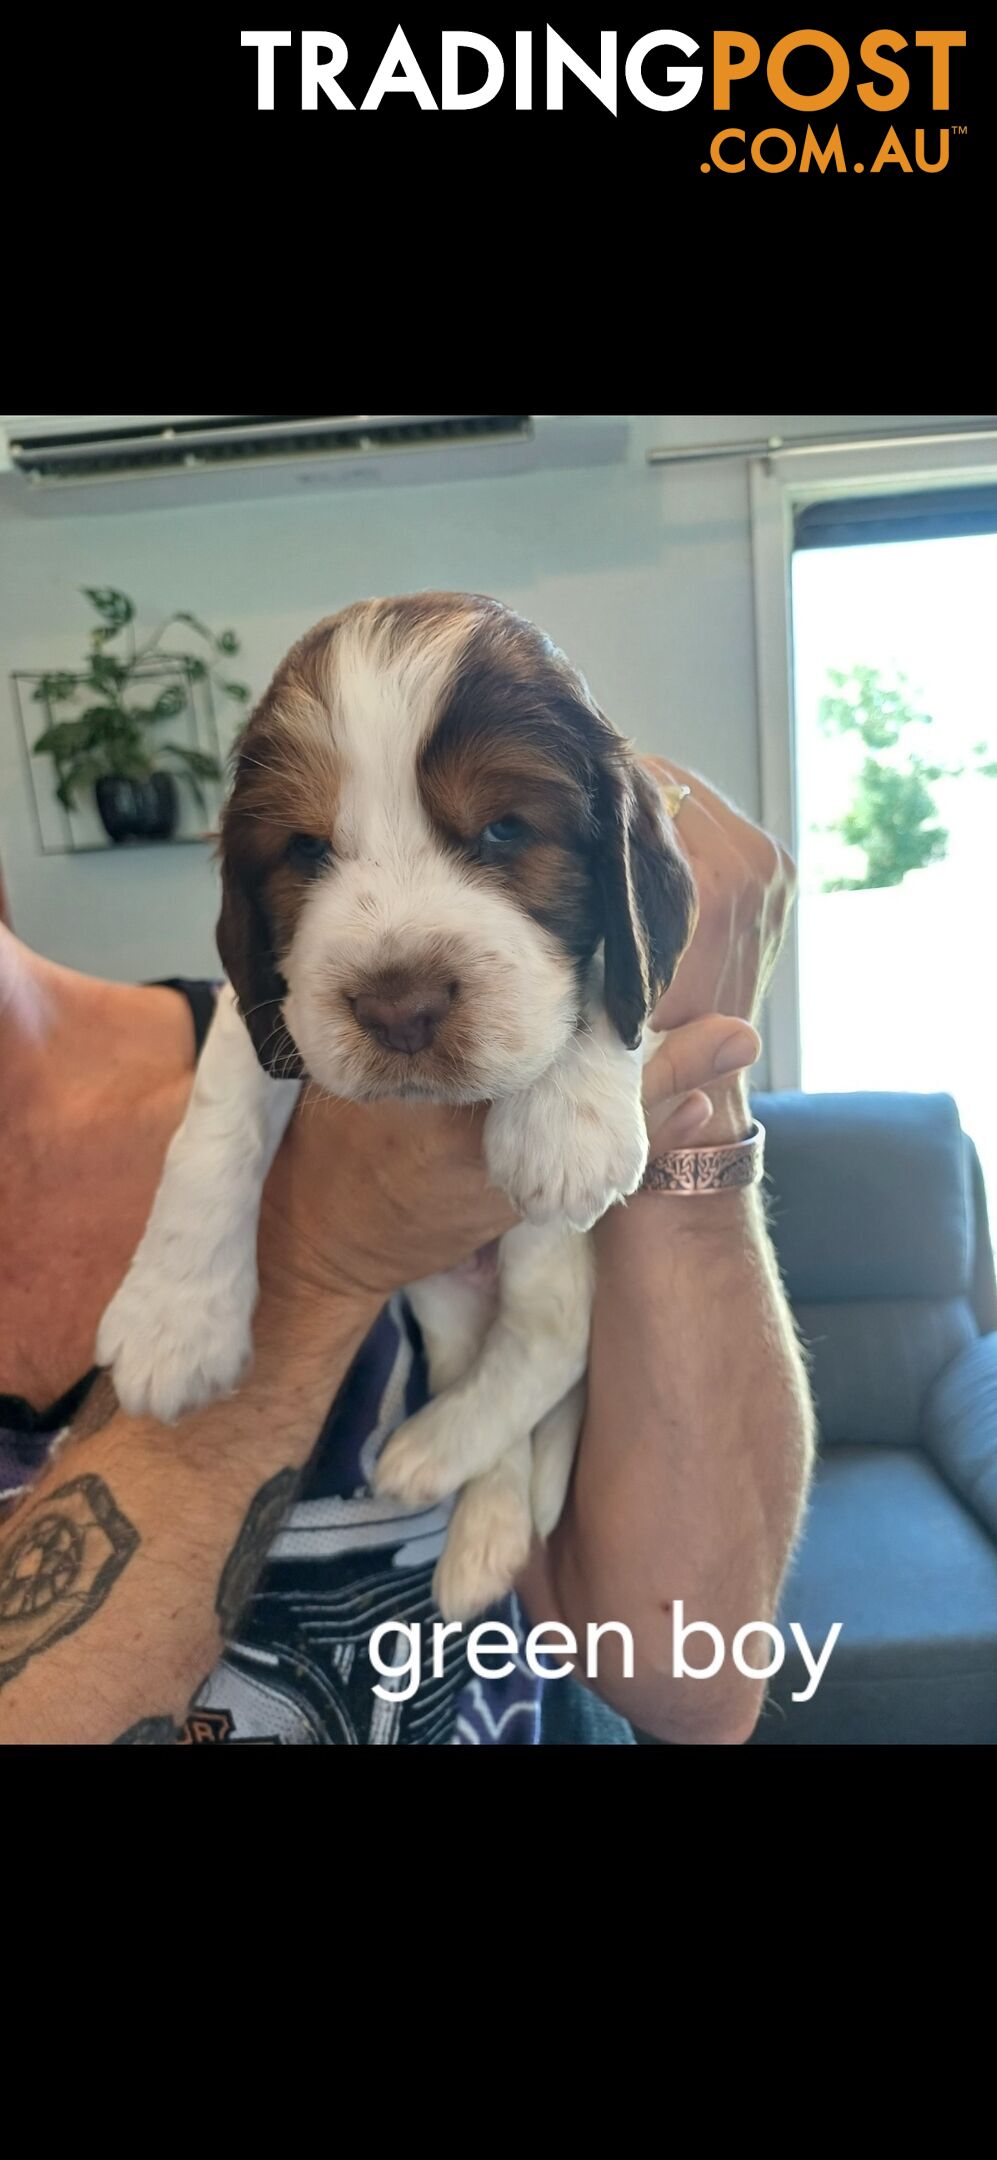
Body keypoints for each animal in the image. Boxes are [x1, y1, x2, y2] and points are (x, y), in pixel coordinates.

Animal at [97, 591, 699, 1624]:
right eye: (305, 849)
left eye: (503, 831)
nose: (397, 1007)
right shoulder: (269, 1003)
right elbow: (216, 1119)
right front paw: (173, 1323)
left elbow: (603, 979)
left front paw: (565, 1121)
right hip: (439, 1291)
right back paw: (471, 1520)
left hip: (549, 1250)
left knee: (556, 1334)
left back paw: (430, 1464)